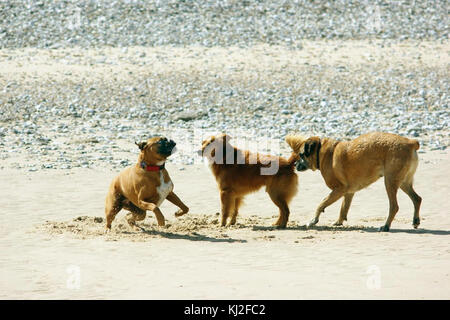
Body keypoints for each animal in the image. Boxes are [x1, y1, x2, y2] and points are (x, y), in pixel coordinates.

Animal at [284, 131, 422, 231]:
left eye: (301, 155)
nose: (295, 164)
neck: (321, 152)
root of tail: (411, 142)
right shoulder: (348, 192)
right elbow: (344, 207)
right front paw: (339, 221)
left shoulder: (338, 190)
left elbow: (322, 203)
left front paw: (314, 220)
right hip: (403, 182)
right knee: (417, 199)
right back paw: (415, 220)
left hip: (390, 182)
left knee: (394, 206)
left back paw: (386, 226)